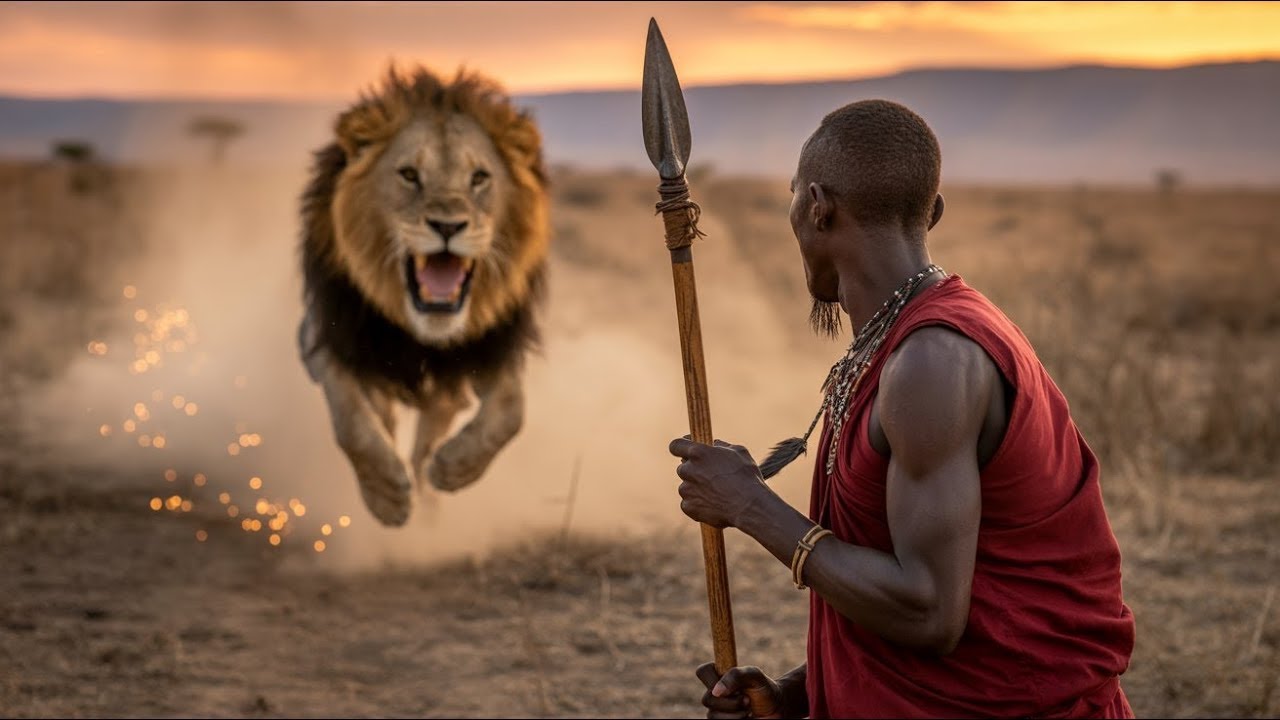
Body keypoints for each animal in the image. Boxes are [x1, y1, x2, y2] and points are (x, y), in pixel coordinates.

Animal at [296, 66, 549, 526]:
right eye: (409, 175)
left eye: (479, 178)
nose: (448, 226)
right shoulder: (323, 338)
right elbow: (352, 421)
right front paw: (385, 498)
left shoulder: (491, 347)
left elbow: (511, 412)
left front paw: (453, 468)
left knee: (429, 435)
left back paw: (431, 494)